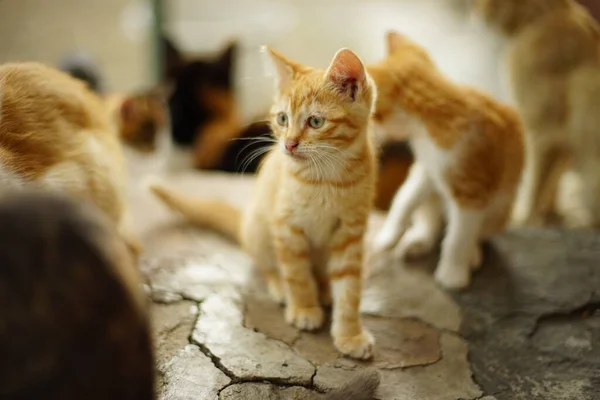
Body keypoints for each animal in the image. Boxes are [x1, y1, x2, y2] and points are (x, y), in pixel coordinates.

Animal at [149, 47, 378, 360]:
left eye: (315, 122)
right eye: (282, 119)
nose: (289, 144)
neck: (327, 178)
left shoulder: (350, 234)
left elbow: (350, 288)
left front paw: (350, 334)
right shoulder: (286, 226)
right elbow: (296, 273)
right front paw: (304, 307)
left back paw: (324, 288)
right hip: (260, 230)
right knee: (267, 264)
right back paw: (283, 287)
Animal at [370, 31, 524, 288]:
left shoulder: (473, 189)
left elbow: (459, 235)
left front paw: (453, 274)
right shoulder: (427, 168)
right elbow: (405, 198)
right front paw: (387, 236)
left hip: (501, 208)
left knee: (477, 232)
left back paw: (472, 253)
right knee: (431, 219)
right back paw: (419, 240)